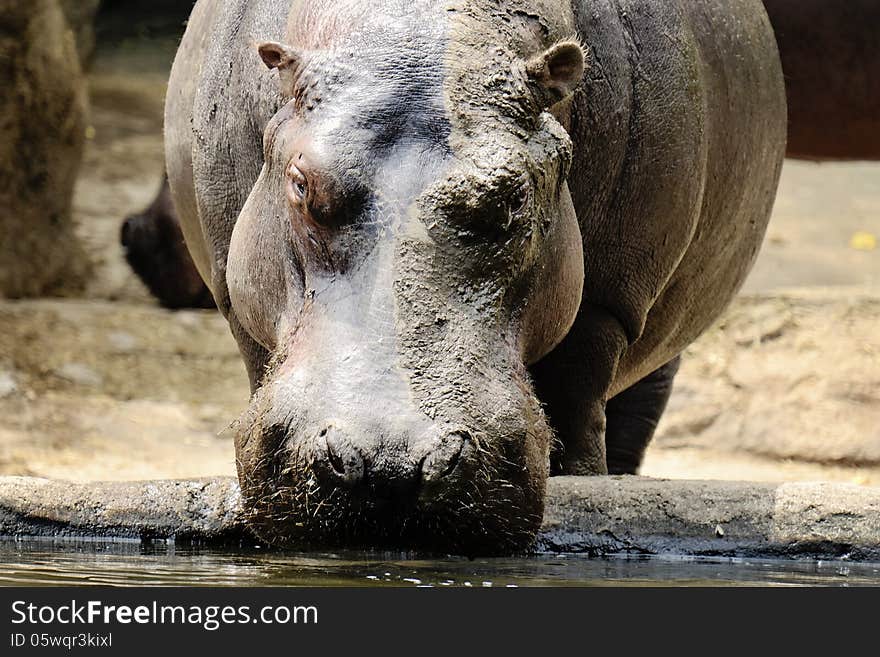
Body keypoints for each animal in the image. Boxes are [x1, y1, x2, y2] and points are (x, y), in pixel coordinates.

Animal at [163, 0, 784, 552]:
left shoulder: (609, 303)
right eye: (300, 184)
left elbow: (581, 387)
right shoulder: (235, 294)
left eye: (513, 197)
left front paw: (585, 481)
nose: (390, 463)